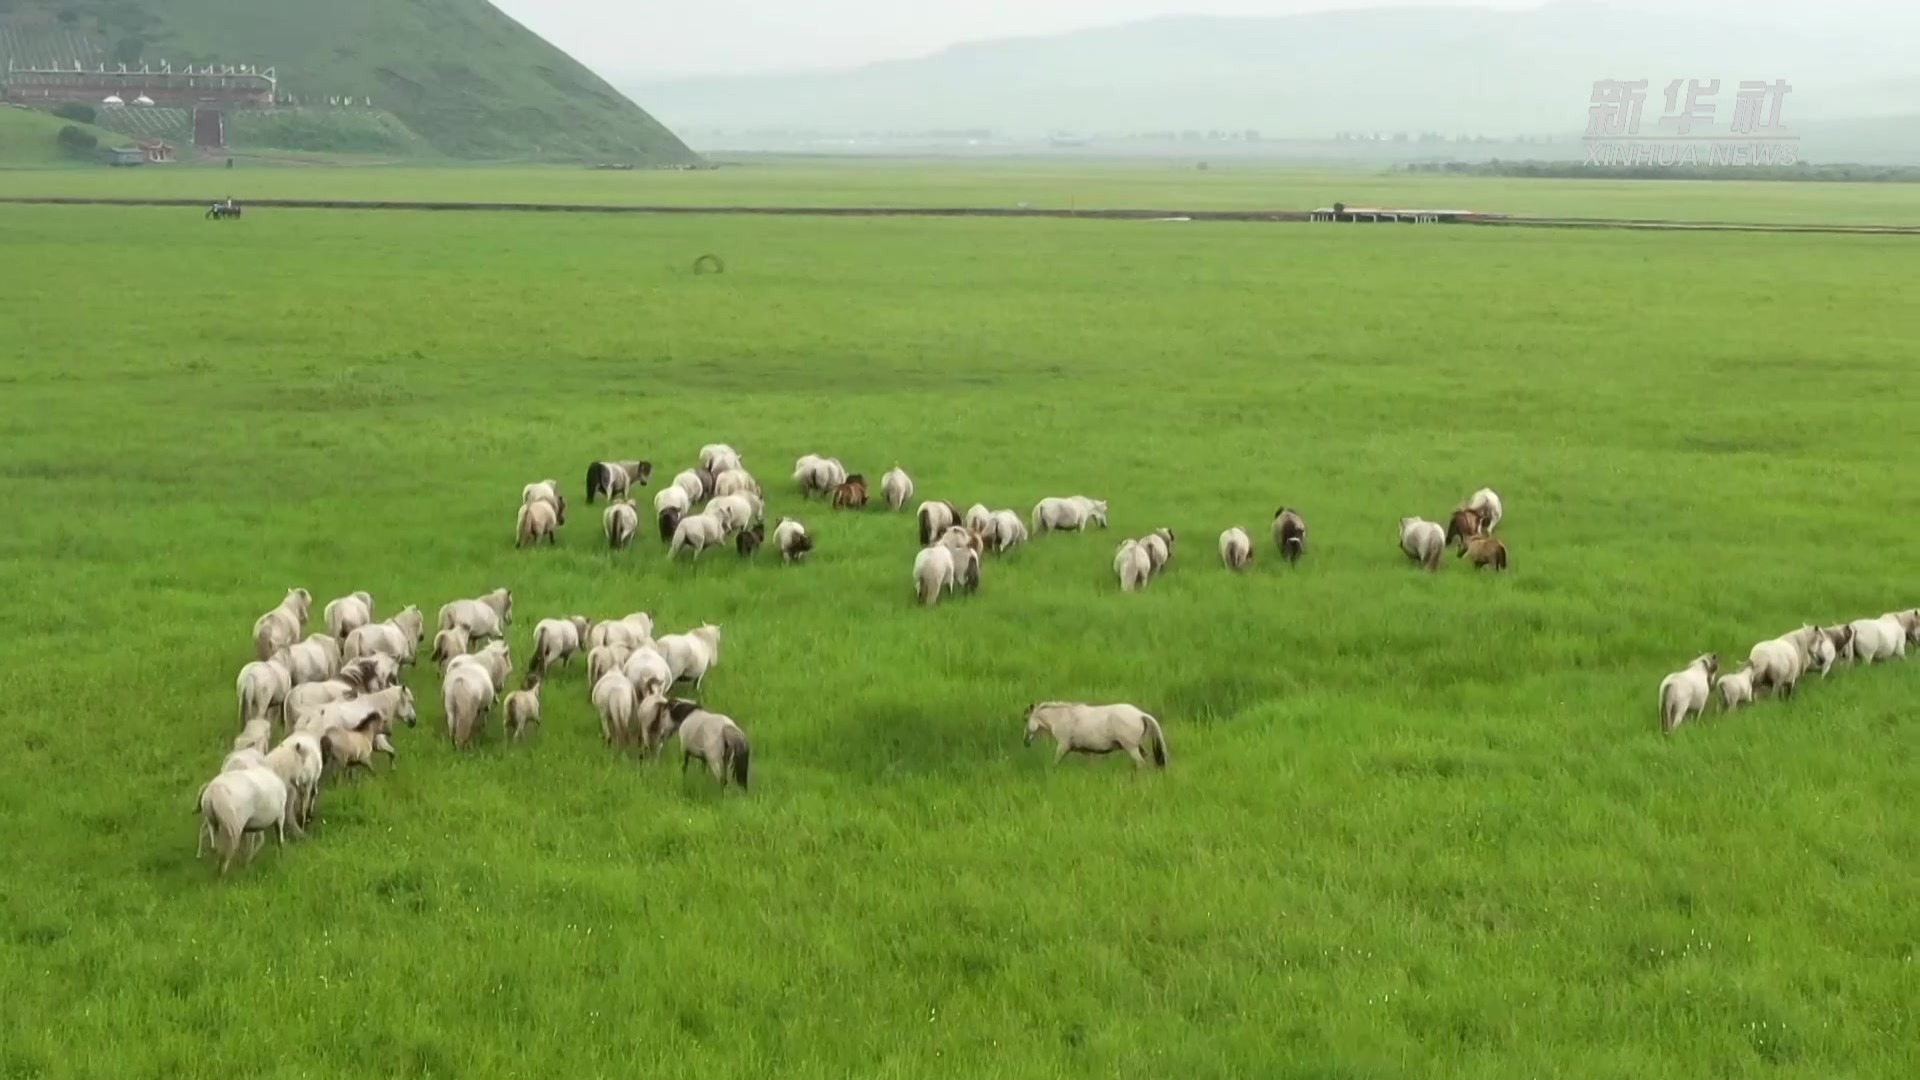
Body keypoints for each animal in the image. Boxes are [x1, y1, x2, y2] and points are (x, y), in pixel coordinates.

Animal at [1029, 703, 1159, 768]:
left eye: (1026, 719)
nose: (1026, 742)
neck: (1061, 717)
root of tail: (1140, 714)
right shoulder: (1087, 750)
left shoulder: (1063, 745)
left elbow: (1055, 762)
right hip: (1138, 746)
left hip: (1131, 747)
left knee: (1141, 762)